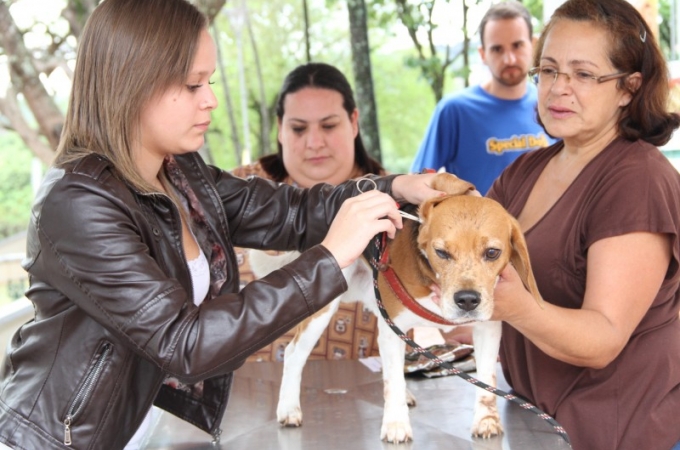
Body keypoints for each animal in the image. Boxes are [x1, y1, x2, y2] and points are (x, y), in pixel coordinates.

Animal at [247, 172, 540, 442]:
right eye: (441, 253)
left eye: (492, 253)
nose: (467, 300)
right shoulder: (392, 327)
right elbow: (393, 383)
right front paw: (396, 424)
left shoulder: (487, 328)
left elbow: (487, 380)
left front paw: (486, 419)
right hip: (325, 305)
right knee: (294, 353)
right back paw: (288, 408)